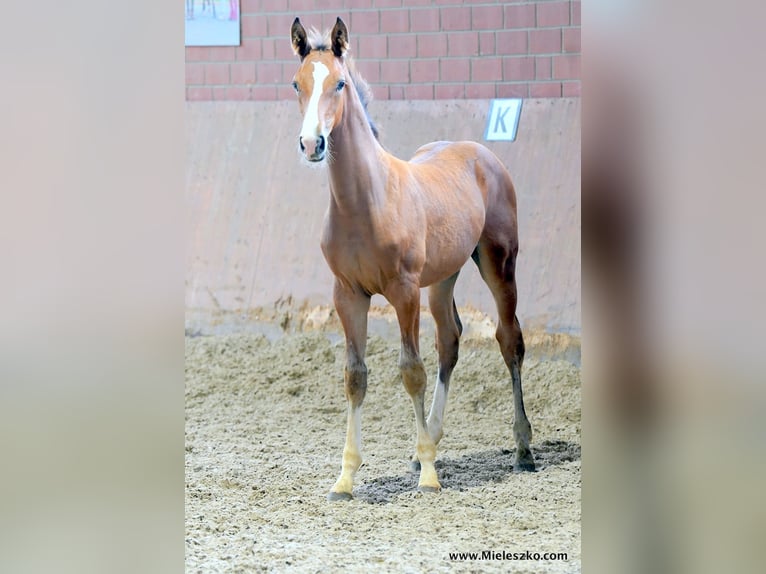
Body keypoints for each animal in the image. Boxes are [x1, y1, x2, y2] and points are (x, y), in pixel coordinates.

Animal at [292, 19, 536, 504]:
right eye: (297, 83)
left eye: (339, 83)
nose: (312, 144)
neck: (366, 203)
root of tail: (482, 154)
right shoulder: (348, 295)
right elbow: (355, 376)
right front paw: (345, 479)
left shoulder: (403, 292)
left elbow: (411, 372)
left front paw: (428, 475)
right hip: (443, 277)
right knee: (451, 339)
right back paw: (432, 441)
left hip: (499, 262)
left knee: (509, 340)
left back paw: (522, 449)